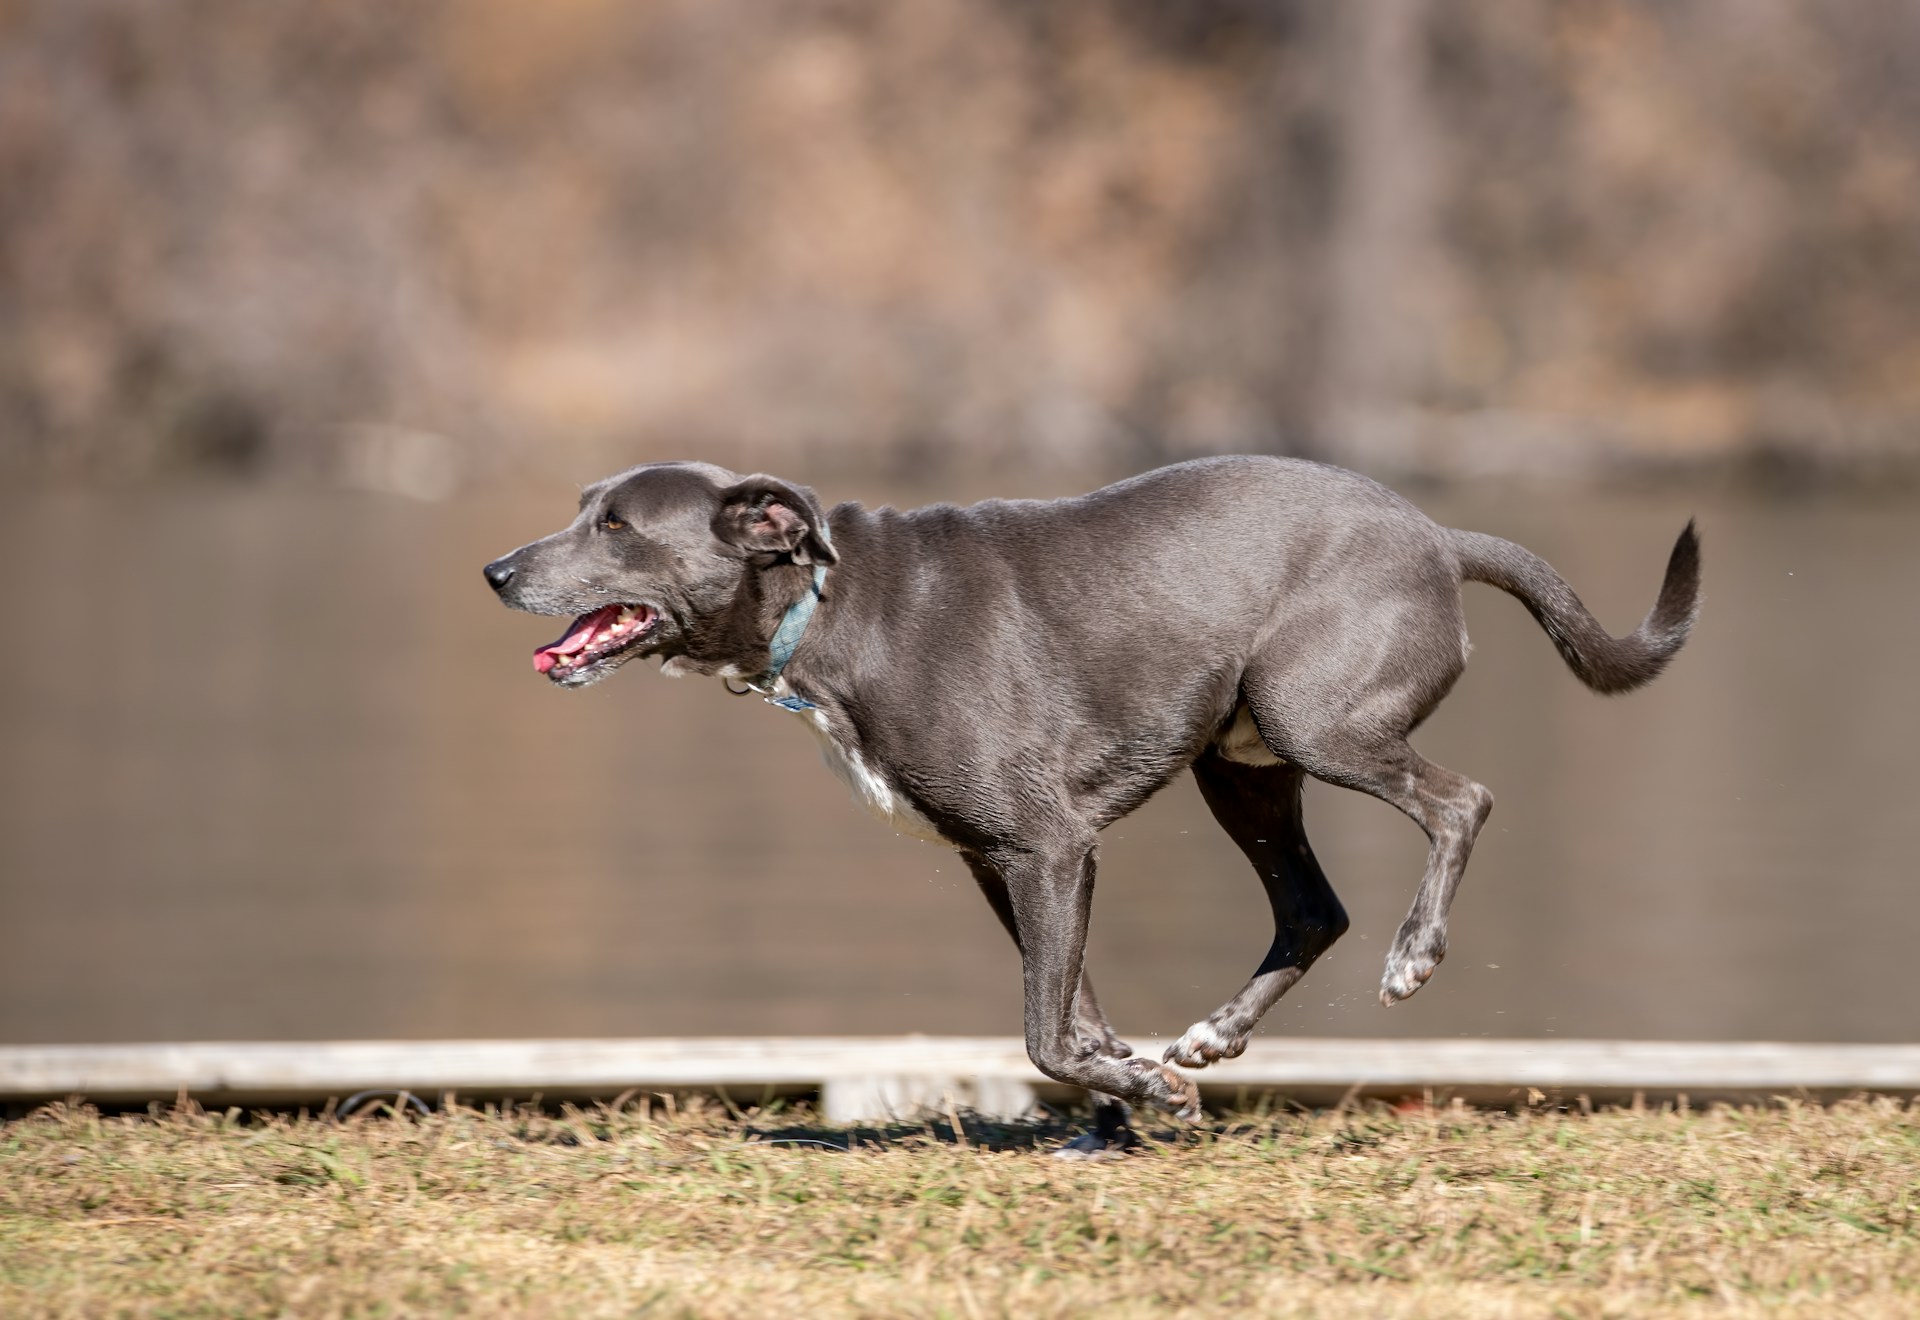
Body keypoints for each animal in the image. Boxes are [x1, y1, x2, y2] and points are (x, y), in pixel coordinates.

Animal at [487, 456, 1704, 1151]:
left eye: (617, 527)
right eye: (583, 510)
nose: (497, 571)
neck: (825, 607)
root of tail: (1441, 539)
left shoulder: (1048, 845)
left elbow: (1042, 1034)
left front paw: (1148, 1097)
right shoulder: (1005, 862)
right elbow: (1074, 1008)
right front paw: (1132, 1103)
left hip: (1318, 719)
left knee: (1462, 803)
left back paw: (1411, 959)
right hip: (1241, 765)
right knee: (1313, 908)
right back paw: (1211, 1038)